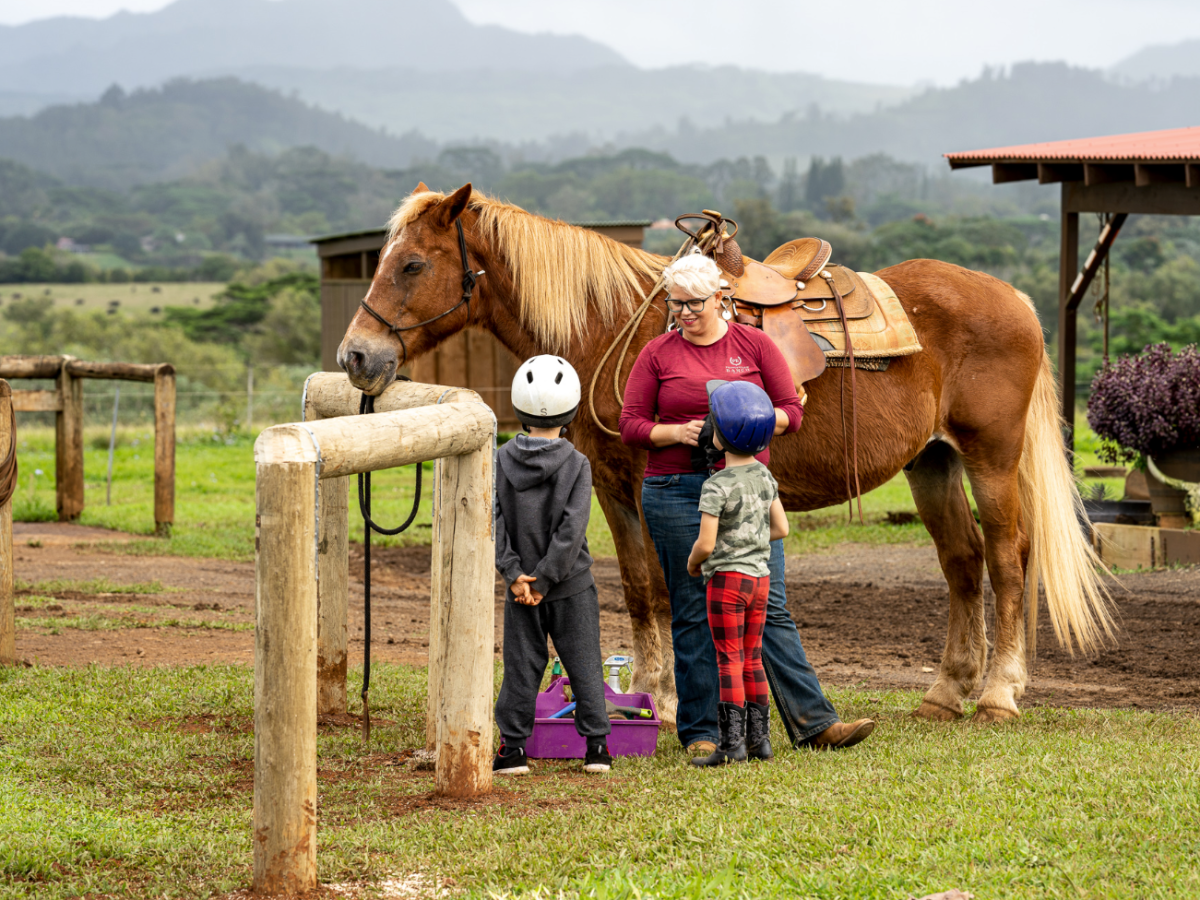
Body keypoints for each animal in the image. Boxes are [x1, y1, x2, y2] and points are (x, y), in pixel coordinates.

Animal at [337, 182, 1113, 728]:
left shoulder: (649, 483)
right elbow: (641, 587)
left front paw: (672, 700)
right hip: (933, 463)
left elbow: (667, 585)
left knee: (1008, 561)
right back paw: (946, 693)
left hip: (990, 459)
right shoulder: (615, 486)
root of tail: (1012, 297)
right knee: (962, 563)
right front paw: (647, 694)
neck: (613, 322)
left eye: (412, 264)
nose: (357, 356)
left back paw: (999, 693)